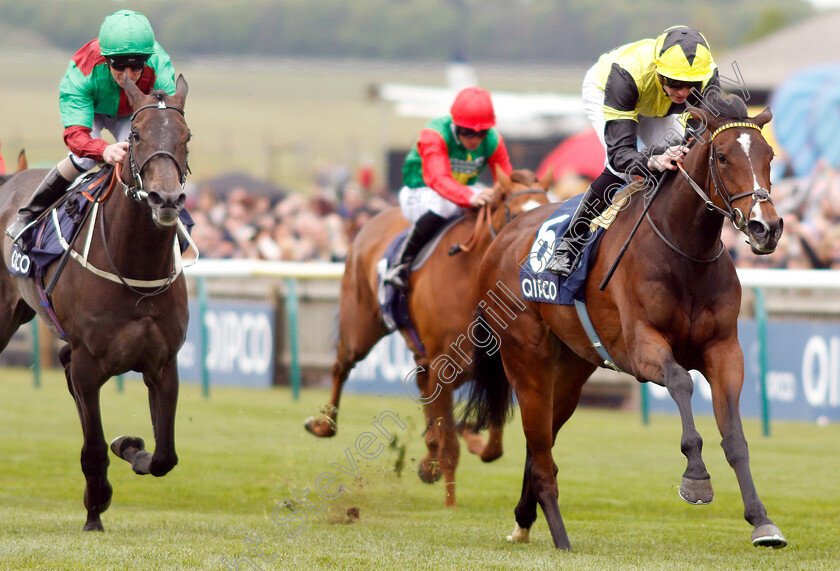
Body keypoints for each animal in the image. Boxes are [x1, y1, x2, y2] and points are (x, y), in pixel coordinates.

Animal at [0, 76, 190, 532]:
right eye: (136, 135)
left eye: (187, 137)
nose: (165, 199)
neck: (135, 268)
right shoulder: (89, 365)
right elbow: (93, 447)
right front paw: (94, 508)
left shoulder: (164, 364)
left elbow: (164, 456)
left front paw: (130, 445)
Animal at [306, 168, 556, 508]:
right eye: (515, 215)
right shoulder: (444, 361)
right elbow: (452, 442)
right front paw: (450, 502)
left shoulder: (494, 366)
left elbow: (492, 445)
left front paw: (464, 442)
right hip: (359, 326)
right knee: (341, 367)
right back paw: (324, 425)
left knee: (423, 384)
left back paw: (431, 456)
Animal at [462, 92, 792, 548]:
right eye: (723, 157)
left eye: (769, 155)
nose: (766, 228)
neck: (684, 252)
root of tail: (501, 240)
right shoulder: (640, 348)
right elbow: (681, 382)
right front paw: (696, 478)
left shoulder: (724, 350)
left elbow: (736, 437)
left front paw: (762, 520)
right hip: (526, 359)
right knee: (539, 446)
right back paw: (560, 536)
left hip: (571, 369)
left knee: (541, 441)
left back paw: (524, 519)